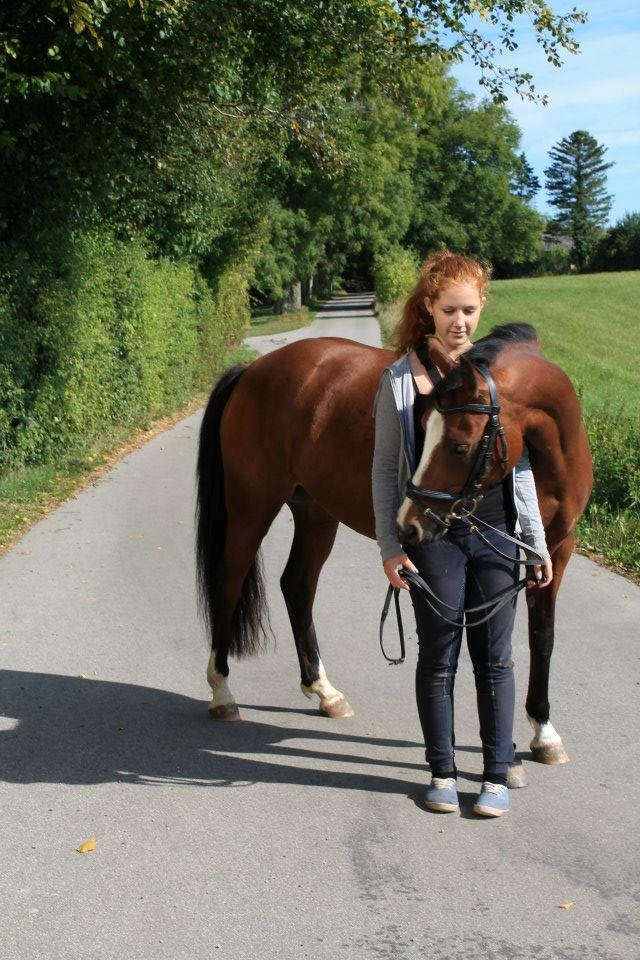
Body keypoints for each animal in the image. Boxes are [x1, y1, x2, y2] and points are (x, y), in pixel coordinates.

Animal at [196, 323, 592, 784]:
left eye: (459, 446)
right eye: (426, 427)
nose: (408, 524)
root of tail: (252, 370)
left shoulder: (552, 553)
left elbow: (541, 638)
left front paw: (543, 732)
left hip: (315, 511)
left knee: (297, 585)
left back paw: (323, 690)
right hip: (252, 506)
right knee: (230, 581)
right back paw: (222, 692)